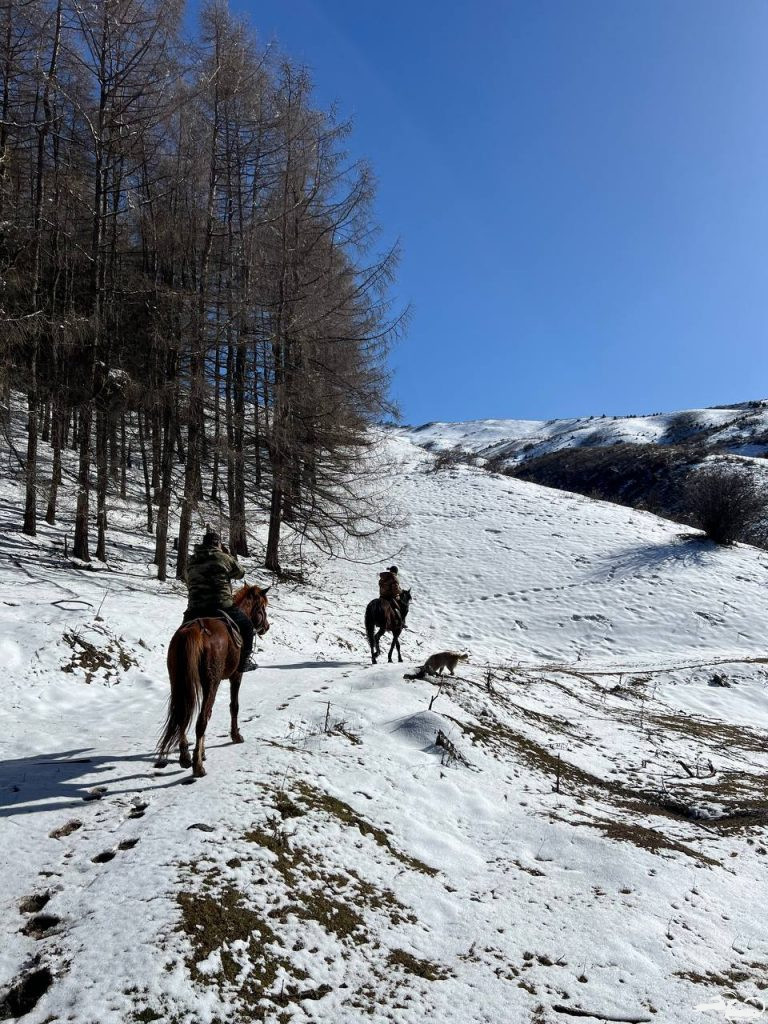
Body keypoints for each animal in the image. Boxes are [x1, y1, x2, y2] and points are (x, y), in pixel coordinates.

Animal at [155, 585, 270, 774]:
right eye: (262, 607)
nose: (266, 626)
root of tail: (195, 630)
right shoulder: (236, 676)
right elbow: (234, 706)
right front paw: (236, 736)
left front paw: (201, 752)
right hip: (212, 682)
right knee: (201, 719)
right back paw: (198, 767)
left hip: (178, 681)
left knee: (183, 715)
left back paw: (185, 757)